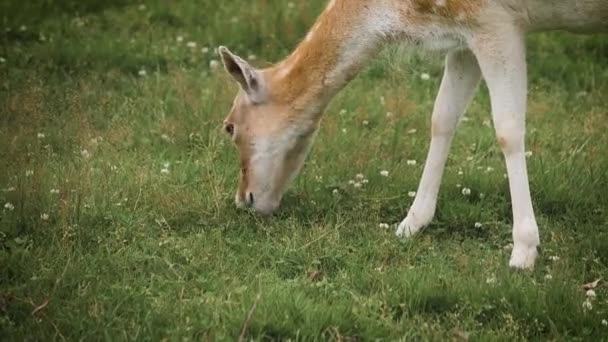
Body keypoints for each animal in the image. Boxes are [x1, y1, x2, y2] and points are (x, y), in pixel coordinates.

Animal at [218, 0, 608, 268]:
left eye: (230, 126)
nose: (243, 199)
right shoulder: (465, 35)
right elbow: (442, 117)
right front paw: (411, 223)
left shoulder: (497, 21)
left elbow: (508, 130)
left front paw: (524, 251)